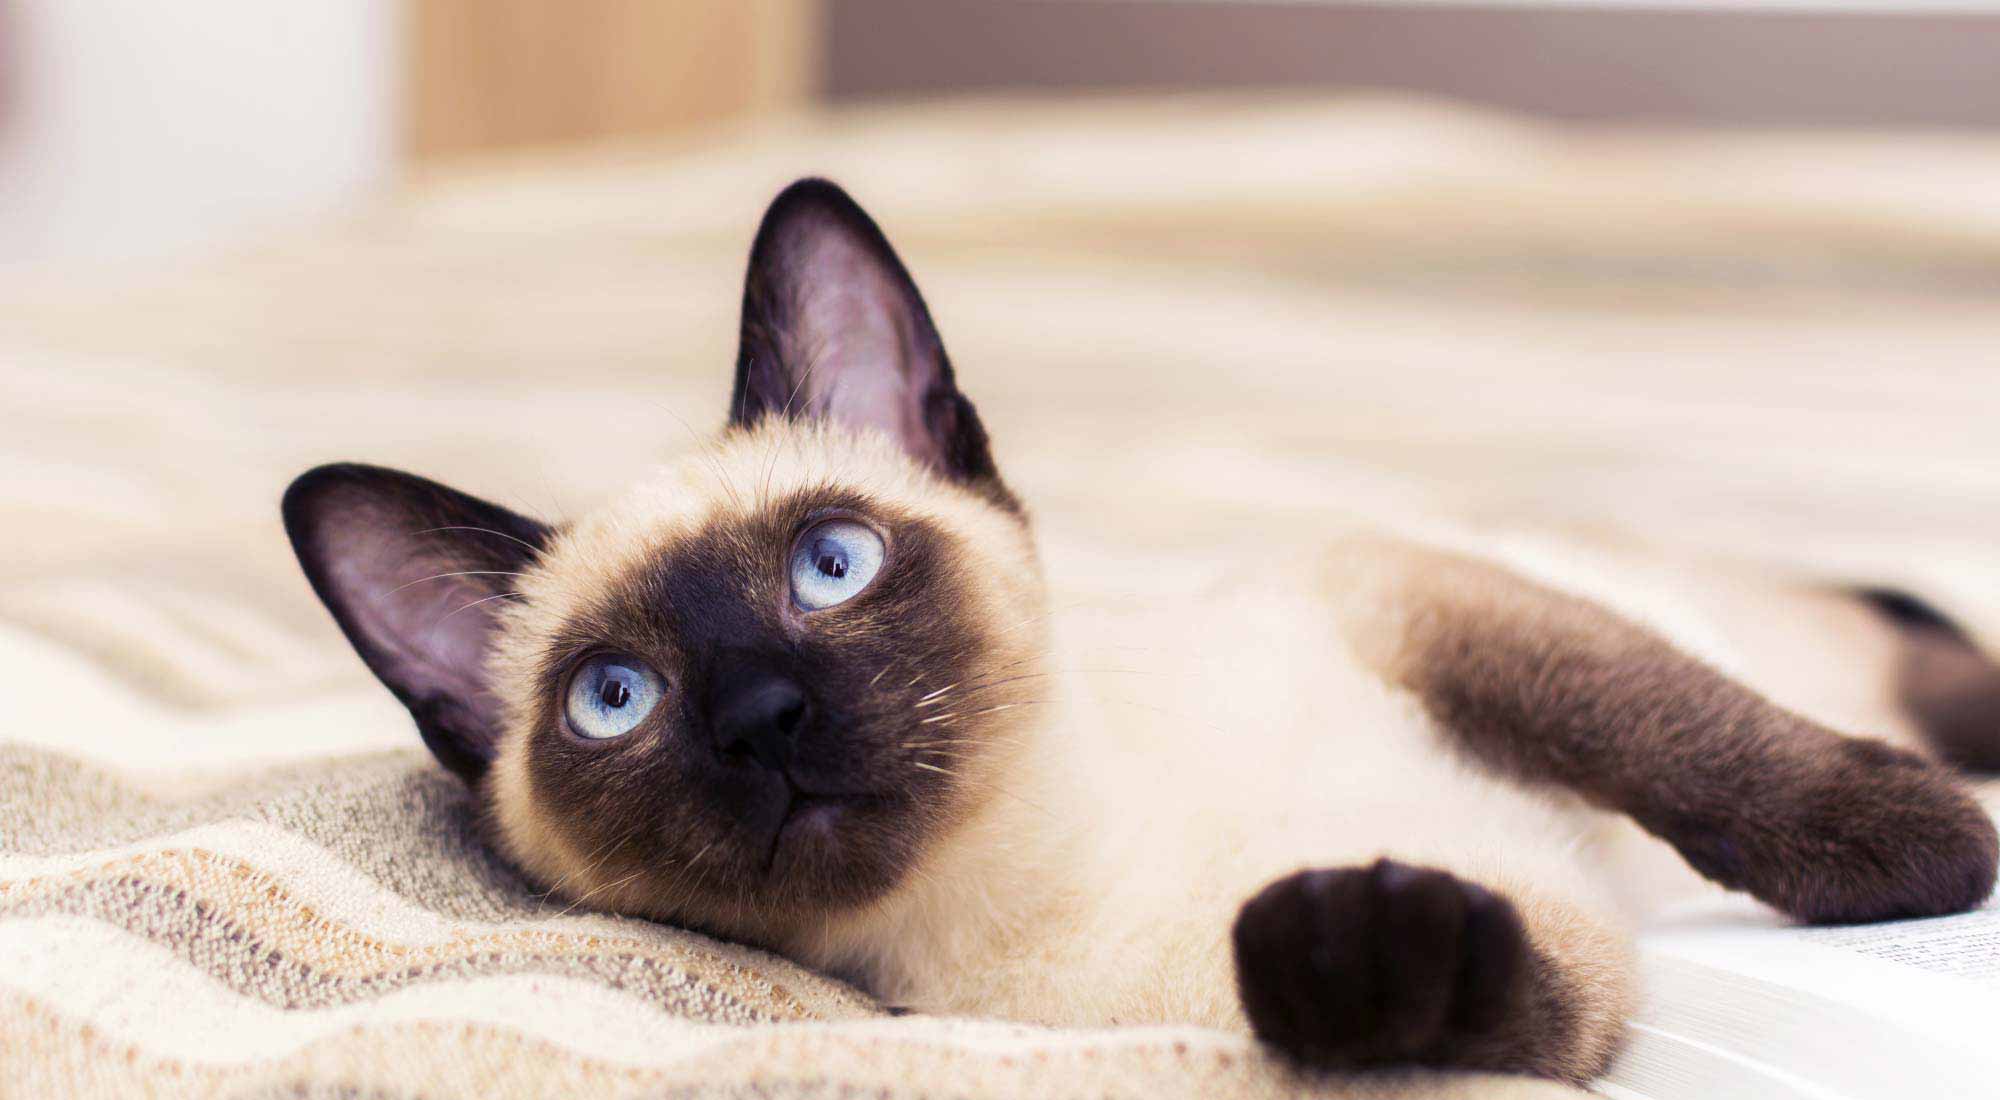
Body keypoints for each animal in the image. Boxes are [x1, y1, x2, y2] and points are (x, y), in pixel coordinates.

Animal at [282, 179, 2000, 1088]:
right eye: (617, 697)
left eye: (831, 567)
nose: (764, 717)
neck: (1054, 862)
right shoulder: (1557, 959)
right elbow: (1465, 985)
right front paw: (1353, 945)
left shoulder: (1416, 598)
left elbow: (1691, 743)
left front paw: (1924, 860)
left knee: (1910, 655)